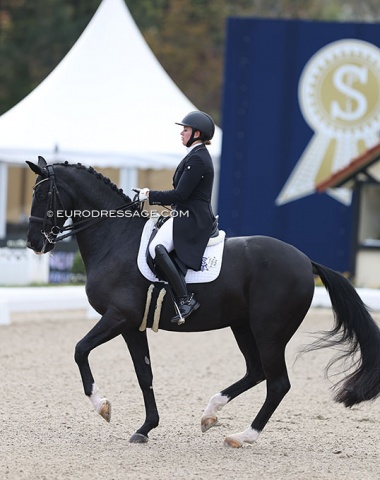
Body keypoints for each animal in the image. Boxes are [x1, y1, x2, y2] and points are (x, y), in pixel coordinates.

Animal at [26, 159, 380, 448]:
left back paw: (243, 436)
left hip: (270, 331)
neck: (116, 240)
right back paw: (211, 412)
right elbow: (144, 375)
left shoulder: (118, 317)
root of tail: (306, 261)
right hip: (243, 326)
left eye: (42, 195)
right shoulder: (132, 326)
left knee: (277, 383)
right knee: (256, 372)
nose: (33, 243)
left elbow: (80, 350)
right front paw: (145, 428)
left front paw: (102, 406)